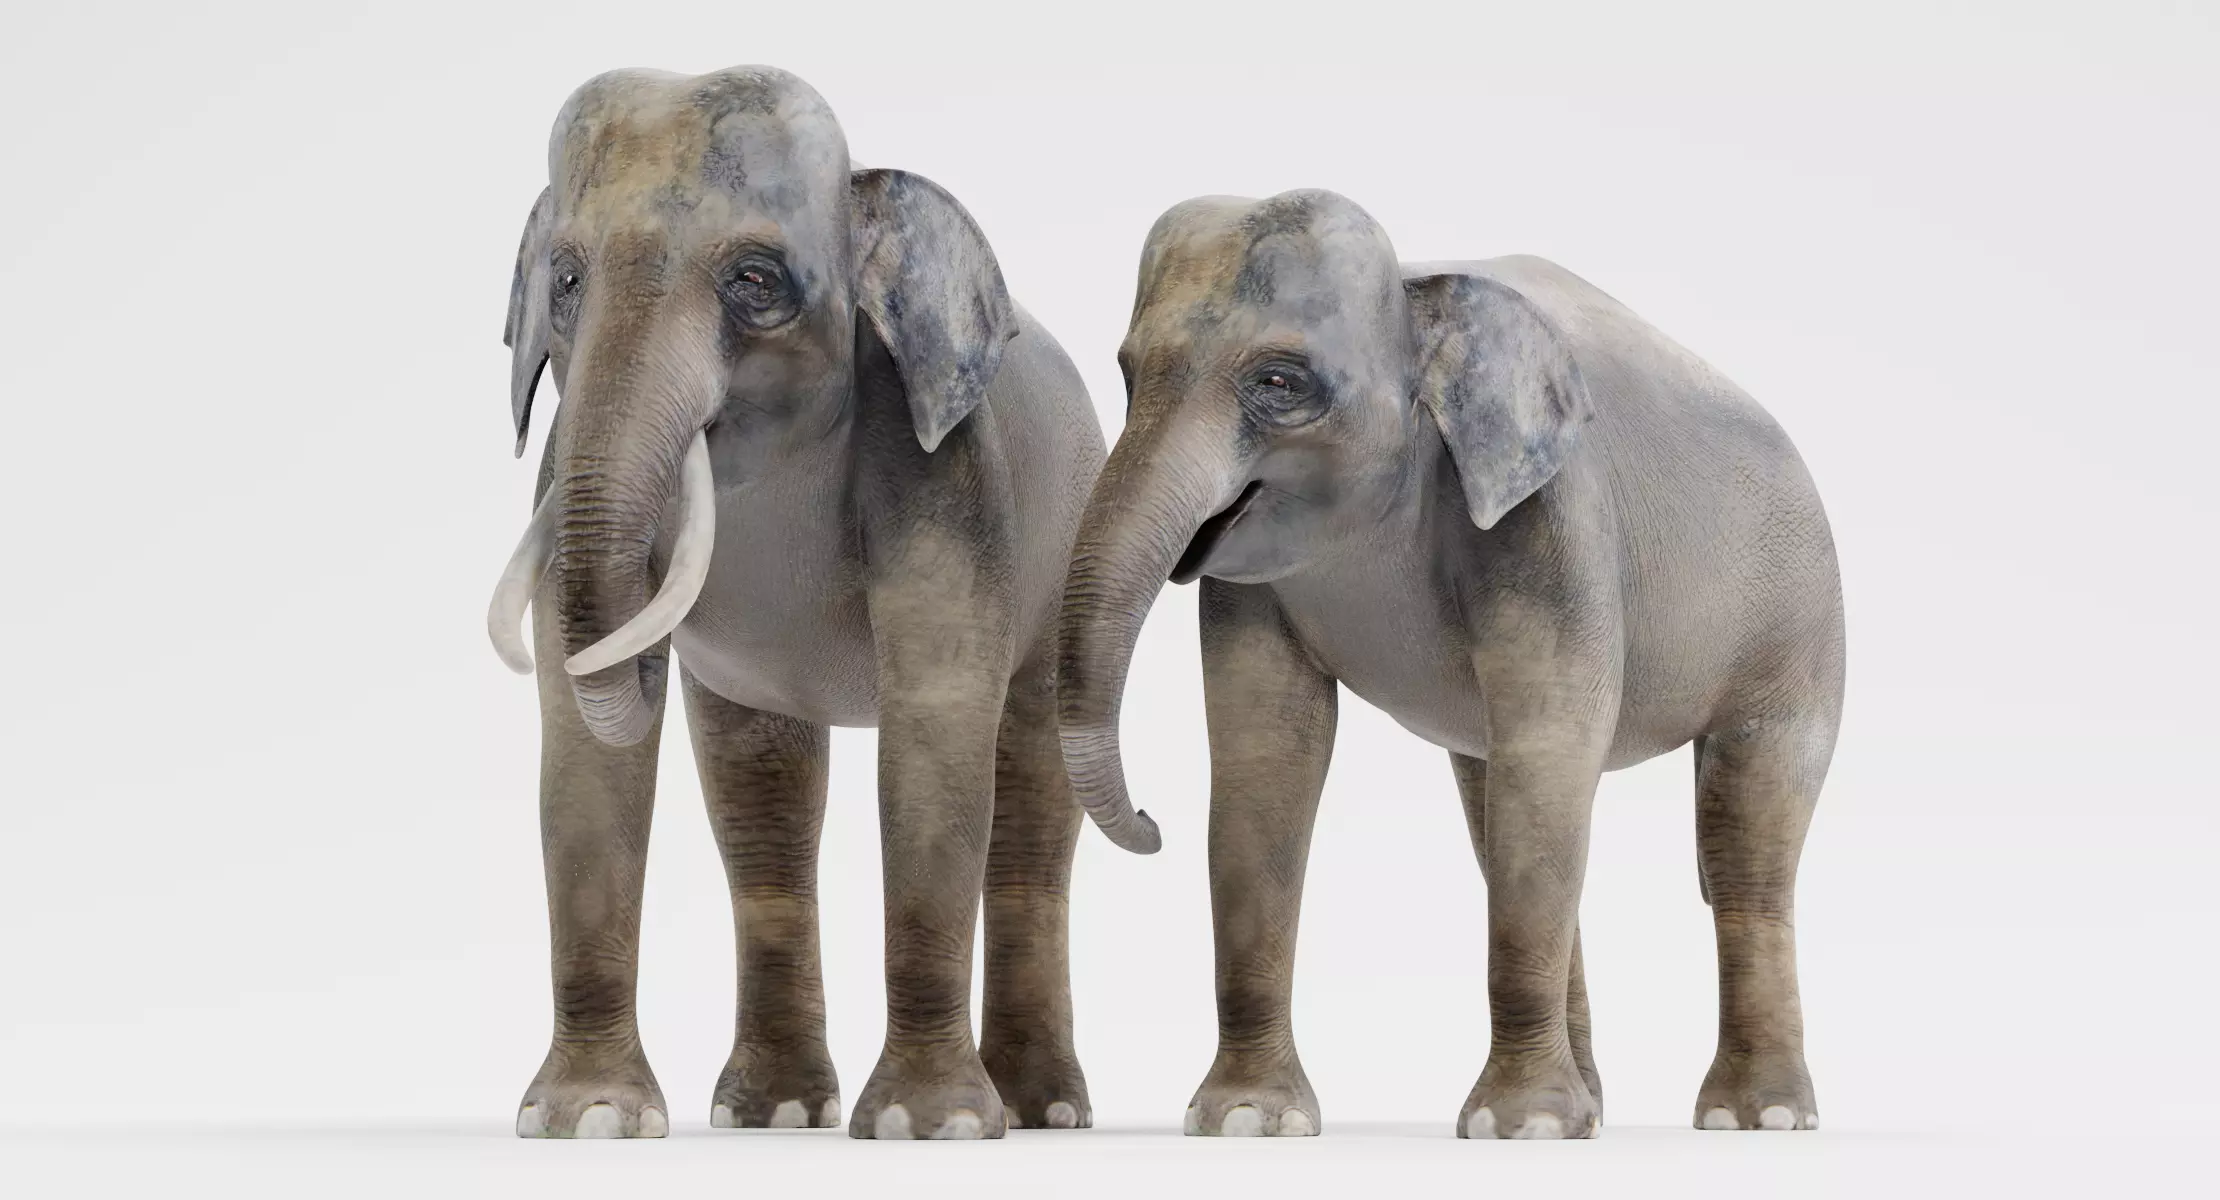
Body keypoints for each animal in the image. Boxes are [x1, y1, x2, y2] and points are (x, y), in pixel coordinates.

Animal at [486, 66, 1106, 1140]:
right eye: (564, 282)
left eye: (756, 281)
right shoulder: (559, 471)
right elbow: (582, 757)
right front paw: (586, 1120)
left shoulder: (947, 473)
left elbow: (935, 741)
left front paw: (930, 1126)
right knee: (761, 804)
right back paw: (774, 1111)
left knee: (1030, 805)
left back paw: (1042, 1110)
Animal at [1055, 190, 1843, 1139]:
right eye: (1128, 372)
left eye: (1280, 383)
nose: (1149, 820)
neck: (1417, 289)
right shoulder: (1251, 572)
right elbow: (1263, 764)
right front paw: (1245, 1120)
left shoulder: (1554, 517)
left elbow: (1552, 745)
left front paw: (1519, 1128)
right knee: (1508, 817)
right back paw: (1593, 1111)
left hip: (1799, 628)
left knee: (1742, 843)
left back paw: (1755, 1116)